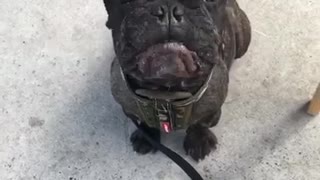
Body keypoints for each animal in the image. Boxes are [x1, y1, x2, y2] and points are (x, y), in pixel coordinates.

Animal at [104, 0, 251, 160]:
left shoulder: (212, 108)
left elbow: (201, 123)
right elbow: (144, 122)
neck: (166, 91)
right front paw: (146, 137)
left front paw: (198, 141)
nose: (168, 10)